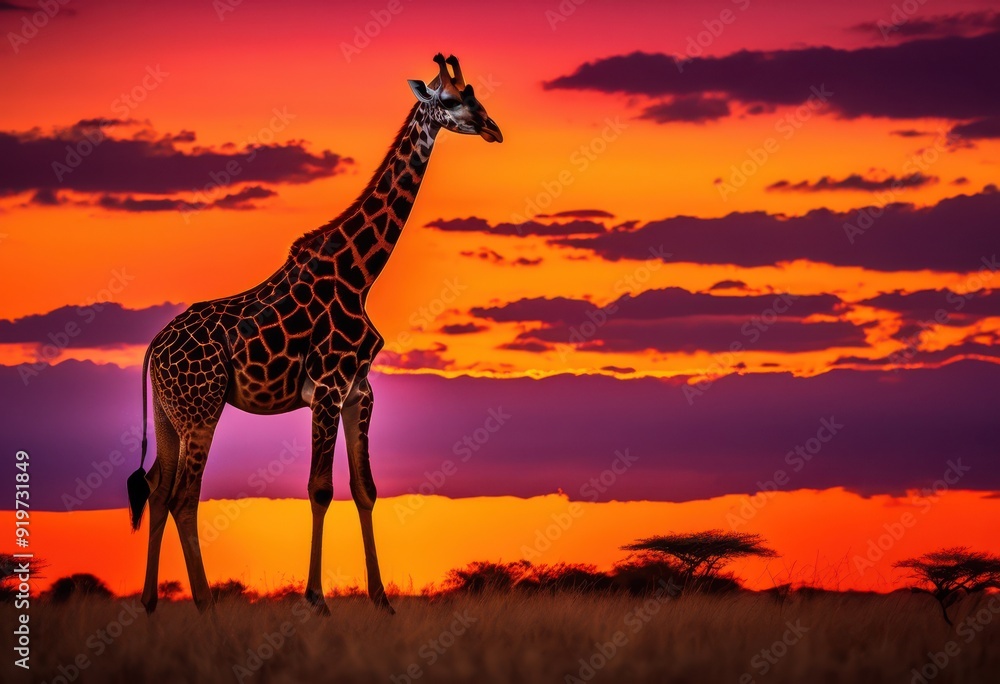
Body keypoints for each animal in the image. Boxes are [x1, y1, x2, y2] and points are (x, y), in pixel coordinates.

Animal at [126, 54, 502, 615]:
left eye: (475, 93)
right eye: (451, 100)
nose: (494, 129)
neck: (361, 273)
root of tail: (155, 346)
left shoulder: (359, 391)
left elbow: (366, 488)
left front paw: (382, 601)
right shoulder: (327, 386)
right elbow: (320, 488)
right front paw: (317, 600)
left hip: (170, 412)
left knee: (155, 486)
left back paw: (151, 605)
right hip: (202, 408)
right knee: (183, 496)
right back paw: (206, 605)